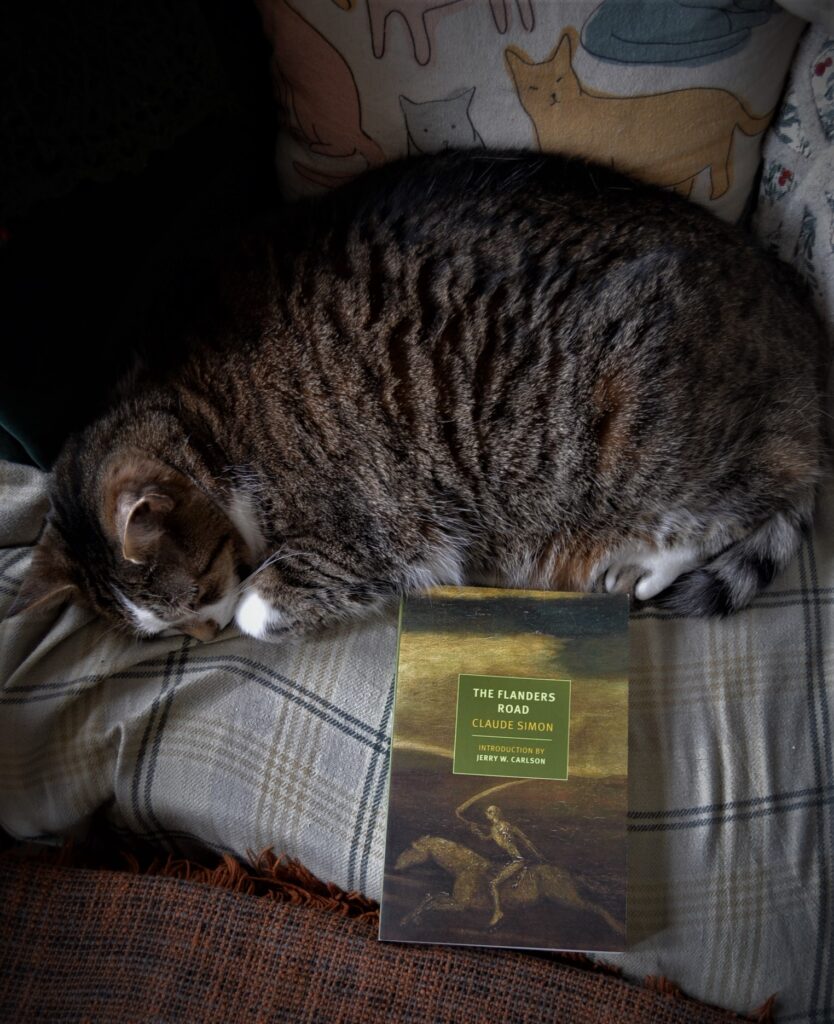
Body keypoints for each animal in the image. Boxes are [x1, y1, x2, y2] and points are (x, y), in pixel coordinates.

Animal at [11, 151, 827, 638]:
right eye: (167, 630)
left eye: (199, 591)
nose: (201, 637)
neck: (201, 404)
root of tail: (802, 324)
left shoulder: (375, 524)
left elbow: (265, 600)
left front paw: (252, 608)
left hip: (643, 433)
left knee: (750, 503)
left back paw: (646, 563)